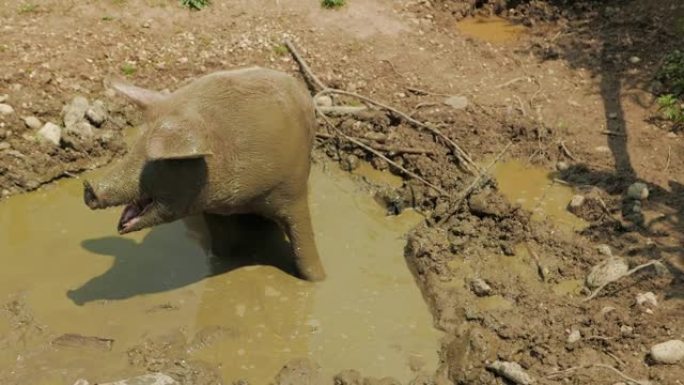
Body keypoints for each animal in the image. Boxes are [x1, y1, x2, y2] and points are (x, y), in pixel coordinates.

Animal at [83, 67, 326, 280]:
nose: (89, 187)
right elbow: (221, 247)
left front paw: (318, 279)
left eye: (157, 160)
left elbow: (304, 246)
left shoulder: (292, 189)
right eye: (133, 147)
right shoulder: (210, 207)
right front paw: (221, 261)